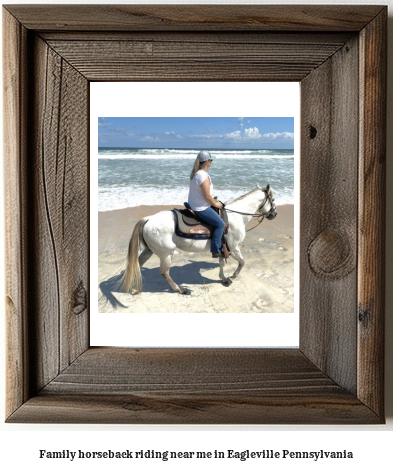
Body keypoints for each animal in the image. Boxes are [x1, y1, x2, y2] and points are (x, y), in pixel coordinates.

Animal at [121, 184, 276, 292]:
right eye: (273, 199)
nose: (274, 214)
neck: (235, 216)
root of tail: (148, 219)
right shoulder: (233, 246)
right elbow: (242, 262)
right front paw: (233, 276)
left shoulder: (222, 247)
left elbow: (222, 263)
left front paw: (224, 278)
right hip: (166, 254)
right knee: (164, 272)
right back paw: (180, 289)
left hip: (149, 250)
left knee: (138, 264)